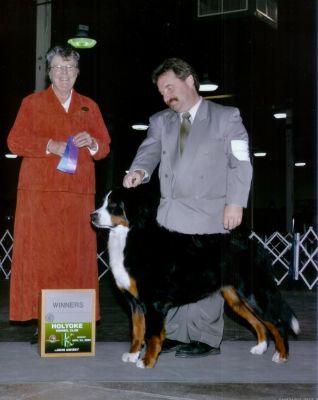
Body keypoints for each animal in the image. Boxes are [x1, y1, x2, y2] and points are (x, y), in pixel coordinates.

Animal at [90, 186, 300, 368]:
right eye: (102, 202)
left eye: (113, 205)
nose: (93, 215)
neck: (129, 237)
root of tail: (255, 246)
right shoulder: (135, 302)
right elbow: (137, 330)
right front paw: (133, 354)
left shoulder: (152, 302)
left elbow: (152, 334)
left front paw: (147, 361)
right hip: (236, 299)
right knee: (259, 322)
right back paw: (260, 347)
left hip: (255, 293)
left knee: (277, 323)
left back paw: (281, 355)